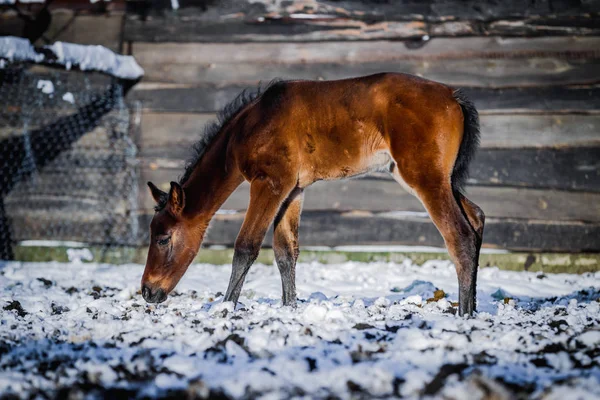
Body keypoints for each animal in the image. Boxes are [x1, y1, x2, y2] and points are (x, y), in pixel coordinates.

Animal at [143, 72, 486, 316]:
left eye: (163, 238)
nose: (147, 292)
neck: (251, 125)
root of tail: (454, 97)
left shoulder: (269, 183)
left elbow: (246, 247)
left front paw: (226, 307)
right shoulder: (293, 190)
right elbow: (285, 252)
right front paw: (289, 307)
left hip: (424, 178)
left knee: (459, 235)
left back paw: (464, 315)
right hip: (441, 179)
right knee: (477, 218)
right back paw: (472, 307)